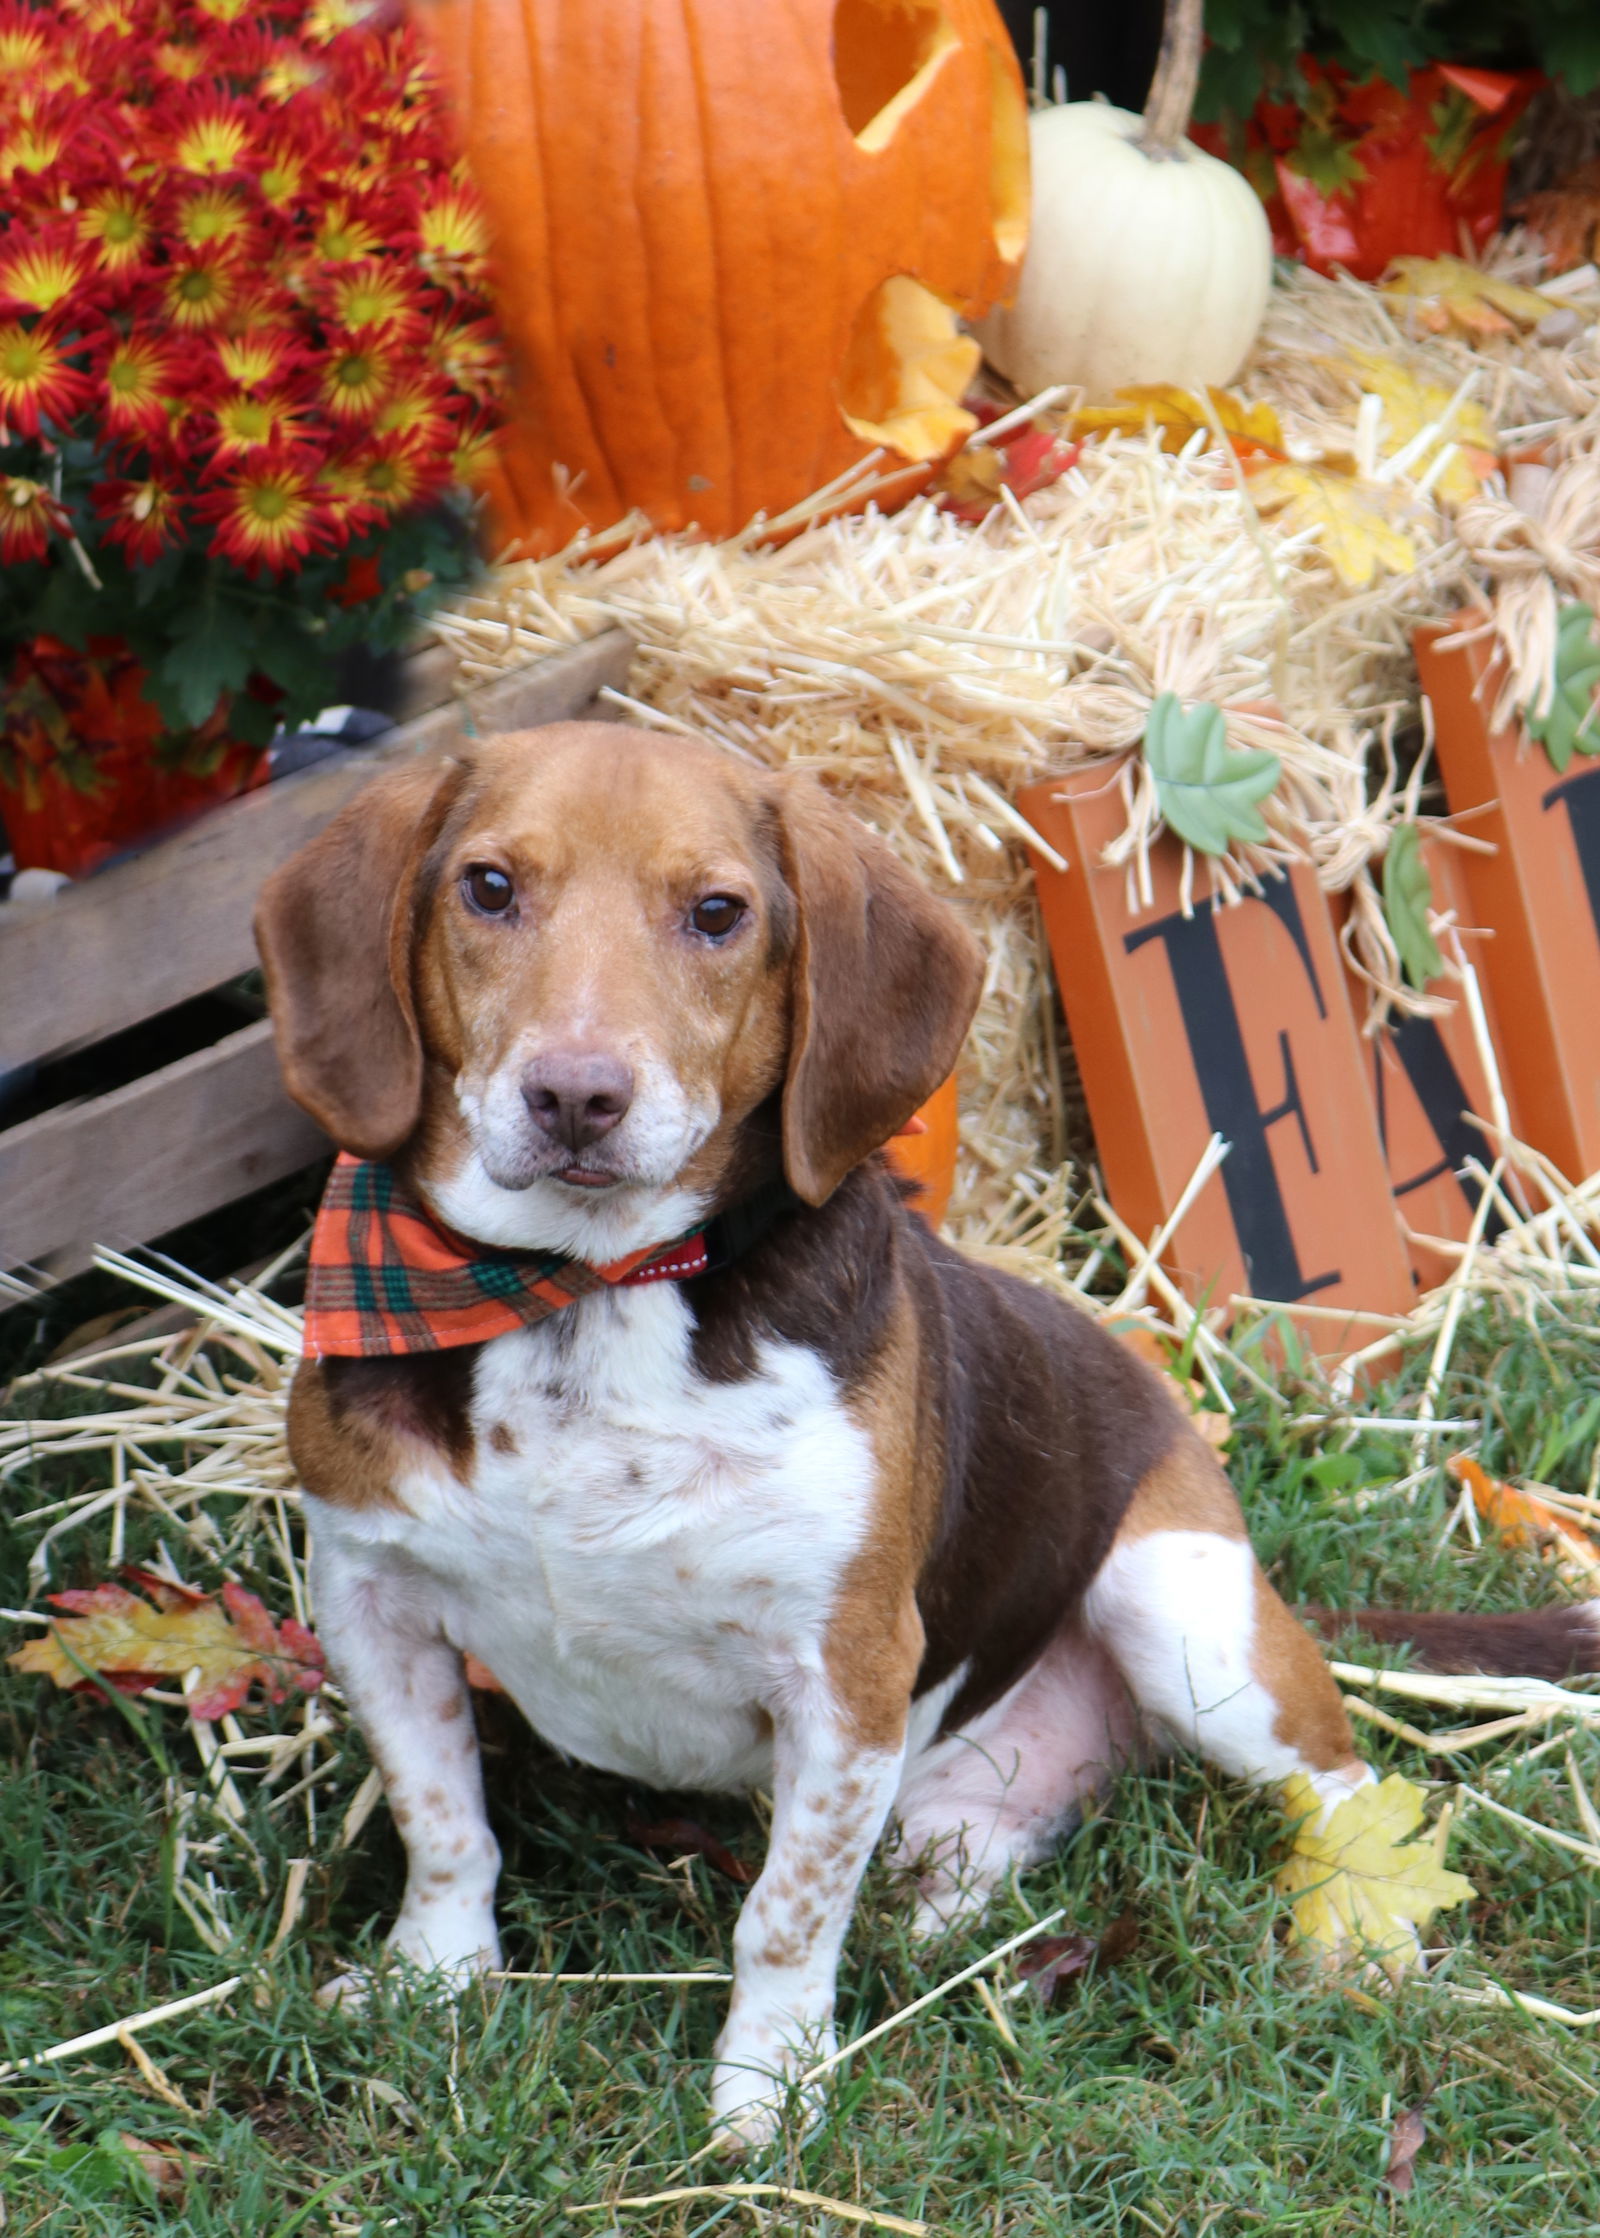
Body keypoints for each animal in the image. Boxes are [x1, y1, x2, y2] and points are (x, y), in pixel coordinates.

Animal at [256, 725, 1593, 2139]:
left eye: (718, 913)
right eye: (489, 888)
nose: (576, 1095)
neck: (583, 1293)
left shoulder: (845, 1674)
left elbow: (783, 1918)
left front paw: (765, 2091)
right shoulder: (369, 1598)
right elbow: (445, 1825)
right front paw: (437, 1978)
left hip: (1187, 1625)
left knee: (1340, 1777)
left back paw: (1361, 1913)